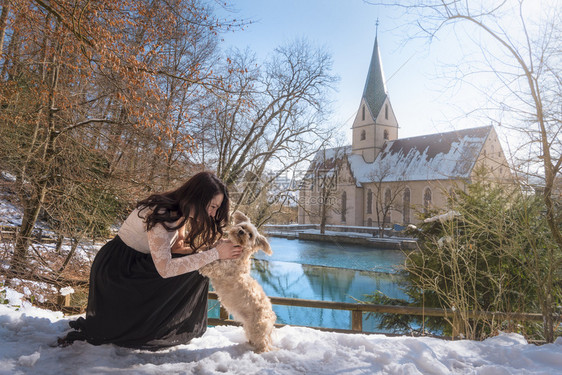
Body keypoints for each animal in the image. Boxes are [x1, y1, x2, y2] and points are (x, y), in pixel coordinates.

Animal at [199, 213, 276, 354]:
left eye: (250, 235)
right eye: (243, 227)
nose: (241, 231)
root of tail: (271, 318)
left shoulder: (222, 268)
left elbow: (213, 264)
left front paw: (202, 263)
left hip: (257, 328)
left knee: (263, 344)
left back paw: (259, 352)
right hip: (250, 328)